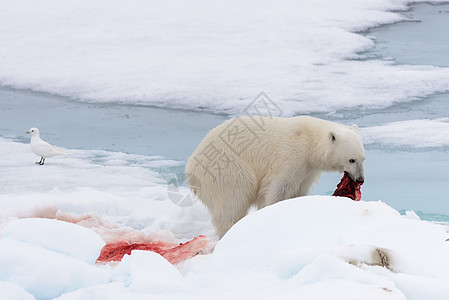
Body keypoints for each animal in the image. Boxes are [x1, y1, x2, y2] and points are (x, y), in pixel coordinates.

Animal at [186, 116, 364, 238]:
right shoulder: (291, 156)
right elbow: (278, 188)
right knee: (234, 198)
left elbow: (299, 191)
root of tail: (191, 169)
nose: (360, 179)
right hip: (227, 166)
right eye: (351, 160)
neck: (310, 140)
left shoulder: (308, 171)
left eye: (363, 158)